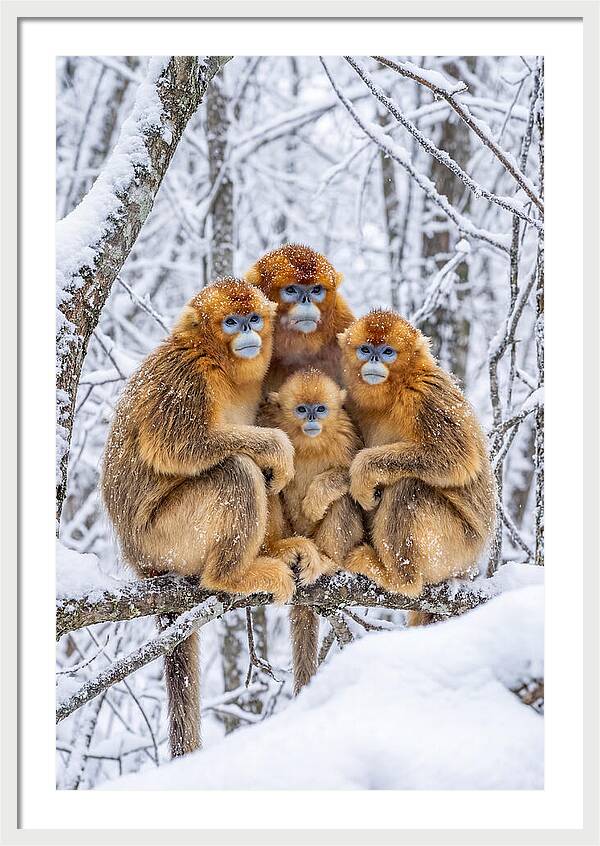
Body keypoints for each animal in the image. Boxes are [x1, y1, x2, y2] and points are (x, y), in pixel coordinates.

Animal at [101, 278, 319, 758]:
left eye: (253, 318)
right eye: (232, 322)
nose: (249, 332)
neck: (219, 362)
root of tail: (139, 561)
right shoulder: (186, 377)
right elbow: (179, 446)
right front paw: (276, 446)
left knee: (259, 476)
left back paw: (277, 550)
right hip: (166, 538)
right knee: (236, 469)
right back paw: (232, 575)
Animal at [263, 369, 364, 693]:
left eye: (320, 408)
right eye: (300, 409)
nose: (311, 419)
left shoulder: (347, 435)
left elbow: (355, 477)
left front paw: (317, 498)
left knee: (344, 499)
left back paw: (327, 561)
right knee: (268, 483)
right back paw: (279, 550)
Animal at [337, 310, 496, 626]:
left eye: (387, 352)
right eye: (365, 349)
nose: (375, 359)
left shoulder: (425, 394)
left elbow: (457, 458)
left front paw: (363, 471)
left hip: (456, 548)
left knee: (409, 488)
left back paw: (399, 579)